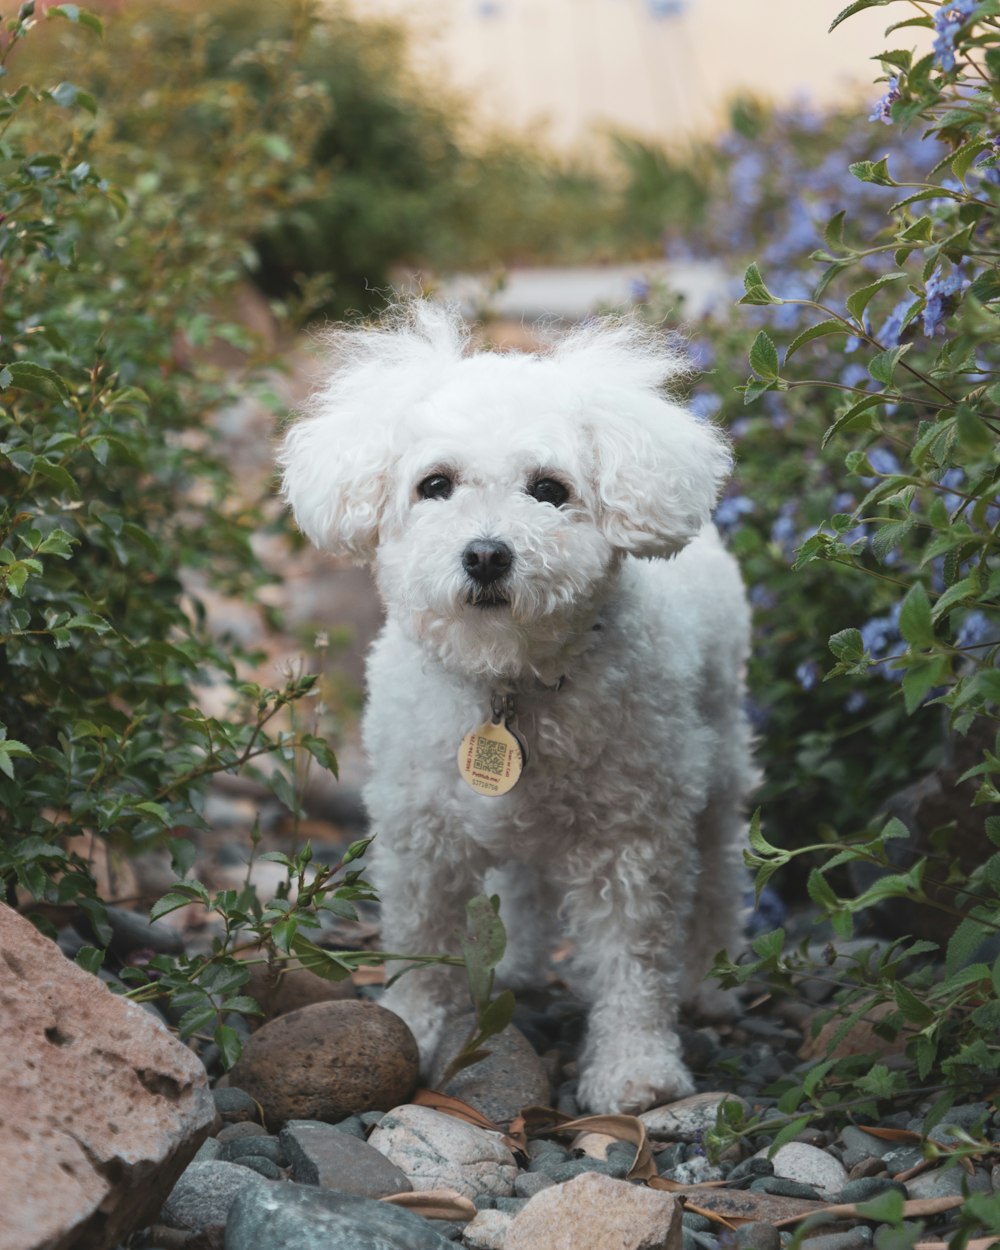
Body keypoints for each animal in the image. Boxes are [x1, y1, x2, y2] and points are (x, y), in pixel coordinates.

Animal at [277, 300, 755, 1115]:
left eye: (550, 489)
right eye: (435, 484)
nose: (486, 555)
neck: (507, 681)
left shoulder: (633, 841)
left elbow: (633, 959)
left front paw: (635, 1070)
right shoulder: (420, 836)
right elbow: (423, 945)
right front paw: (413, 1030)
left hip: (718, 758)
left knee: (719, 873)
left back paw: (711, 981)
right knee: (523, 882)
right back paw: (516, 967)